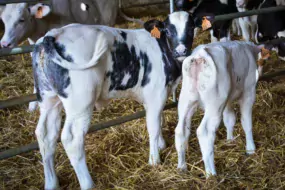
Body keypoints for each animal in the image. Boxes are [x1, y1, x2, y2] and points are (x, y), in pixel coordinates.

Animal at [31, 11, 195, 189]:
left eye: (191, 28)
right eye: (169, 30)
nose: (182, 51)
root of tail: (53, 34)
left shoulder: (157, 96)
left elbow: (160, 120)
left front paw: (161, 144)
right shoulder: (156, 94)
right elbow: (154, 127)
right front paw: (154, 160)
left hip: (49, 99)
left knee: (45, 134)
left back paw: (51, 183)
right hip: (80, 104)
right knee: (72, 139)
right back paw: (88, 183)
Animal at [175, 41, 262, 177]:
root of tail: (200, 55)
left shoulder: (227, 100)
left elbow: (230, 119)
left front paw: (230, 139)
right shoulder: (249, 93)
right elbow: (246, 121)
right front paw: (250, 148)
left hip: (186, 101)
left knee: (181, 130)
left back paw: (182, 167)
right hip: (214, 104)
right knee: (204, 132)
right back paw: (211, 173)